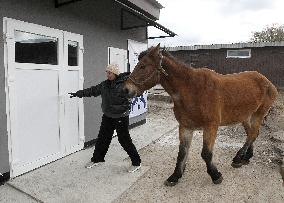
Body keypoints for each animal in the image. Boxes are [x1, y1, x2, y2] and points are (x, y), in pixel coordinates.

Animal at [123, 44, 278, 186]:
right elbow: (182, 153)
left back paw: (238, 158)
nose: (126, 89)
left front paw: (215, 175)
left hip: (258, 114)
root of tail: (267, 81)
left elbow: (206, 153)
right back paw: (245, 157)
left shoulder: (211, 126)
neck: (192, 89)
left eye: (143, 66)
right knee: (252, 134)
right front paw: (175, 176)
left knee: (252, 134)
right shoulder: (185, 127)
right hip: (246, 116)